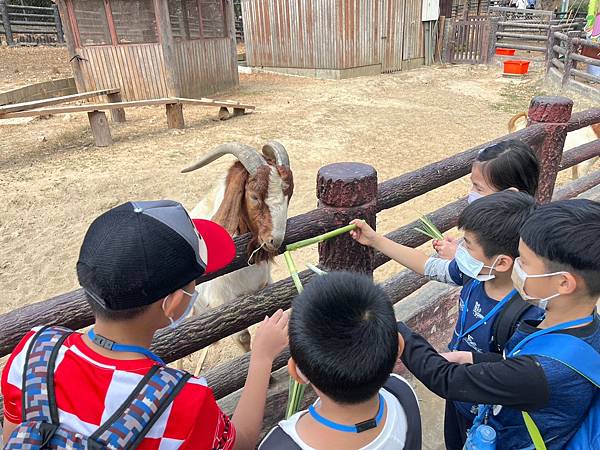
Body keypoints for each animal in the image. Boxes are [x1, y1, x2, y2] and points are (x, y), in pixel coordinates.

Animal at [183, 142, 296, 354]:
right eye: (254, 196)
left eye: (289, 194)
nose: (275, 241)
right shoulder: (222, 300)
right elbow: (243, 337)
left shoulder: (265, 284)